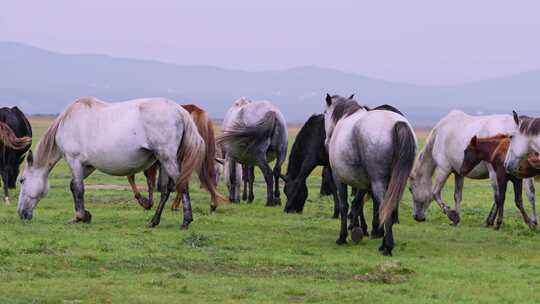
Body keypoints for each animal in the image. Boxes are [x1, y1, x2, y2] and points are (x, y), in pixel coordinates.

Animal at [16, 96, 207, 229]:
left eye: (22, 180)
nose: (20, 213)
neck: (67, 122)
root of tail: (179, 110)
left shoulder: (74, 160)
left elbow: (77, 188)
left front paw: (80, 216)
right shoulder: (88, 166)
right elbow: (74, 186)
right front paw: (84, 215)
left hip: (167, 158)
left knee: (182, 185)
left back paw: (186, 221)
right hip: (164, 160)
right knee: (166, 190)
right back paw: (154, 221)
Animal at [322, 94, 416, 255]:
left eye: (324, 114)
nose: (326, 143)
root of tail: (397, 123)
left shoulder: (339, 179)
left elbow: (344, 206)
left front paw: (342, 236)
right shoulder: (364, 184)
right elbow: (357, 202)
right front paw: (357, 227)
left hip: (378, 182)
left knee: (384, 206)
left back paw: (387, 246)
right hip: (394, 182)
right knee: (389, 207)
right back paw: (384, 243)